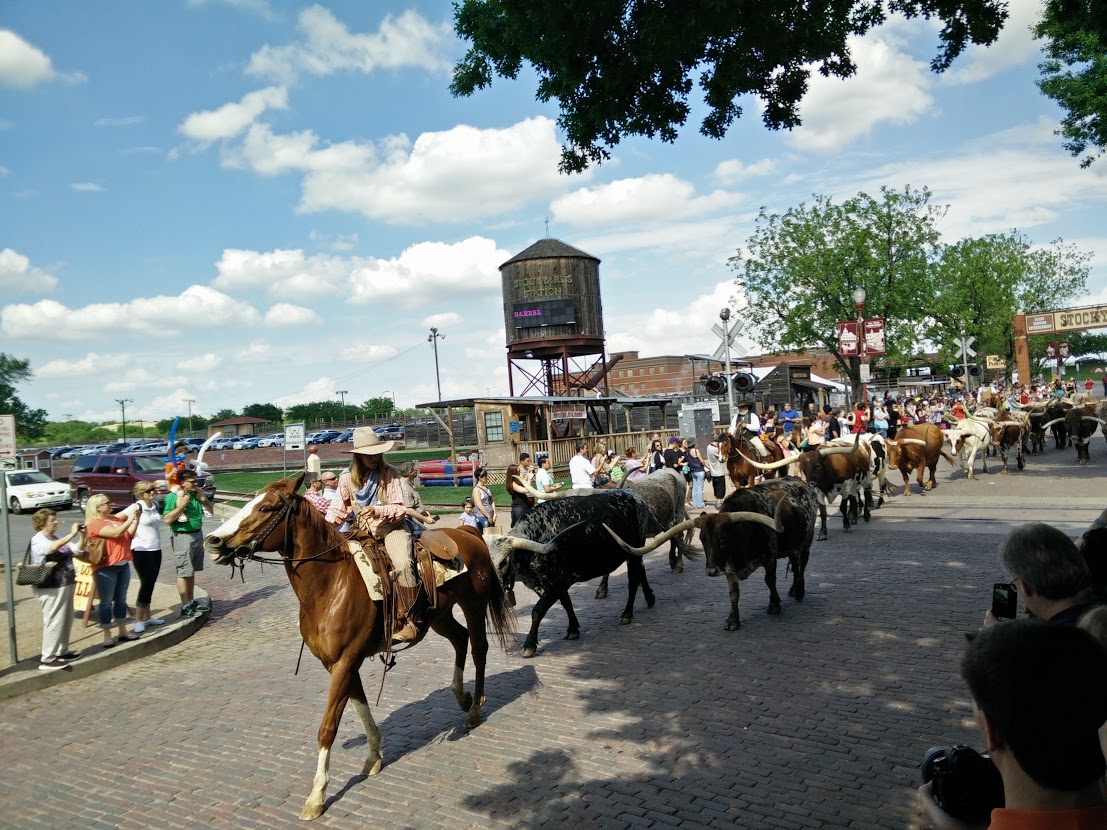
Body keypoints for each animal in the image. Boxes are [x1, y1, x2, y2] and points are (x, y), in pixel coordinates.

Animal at [203, 478, 513, 823]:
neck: (330, 585)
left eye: (266, 507)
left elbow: (328, 727)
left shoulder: (344, 661)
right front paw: (374, 755)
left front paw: (316, 796)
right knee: (460, 640)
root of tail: (469, 533)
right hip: (438, 615)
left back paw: (474, 710)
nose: (213, 541)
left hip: (473, 605)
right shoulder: (339, 663)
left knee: (479, 648)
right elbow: (360, 705)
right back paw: (462, 696)